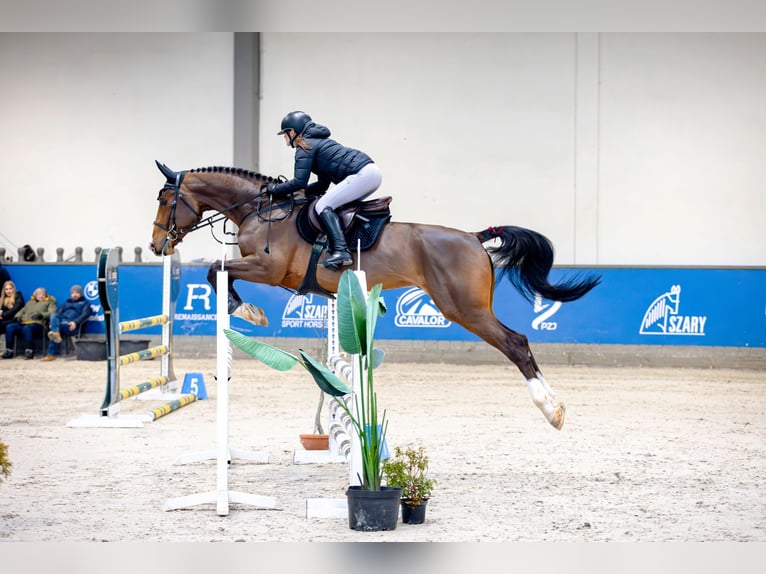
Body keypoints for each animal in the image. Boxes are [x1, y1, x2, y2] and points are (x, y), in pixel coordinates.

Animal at [149, 161, 601, 430]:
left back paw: (552, 410)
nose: (157, 246)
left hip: (464, 309)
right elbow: (218, 271)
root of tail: (474, 237)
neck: (263, 211)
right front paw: (246, 310)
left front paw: (249, 311)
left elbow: (215, 270)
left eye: (167, 200)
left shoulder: (268, 269)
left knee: (516, 343)